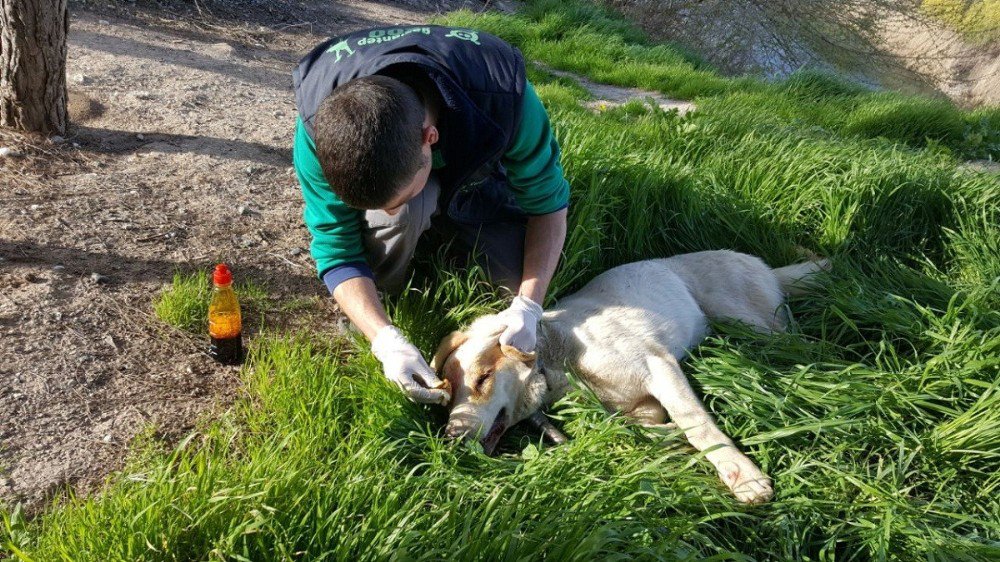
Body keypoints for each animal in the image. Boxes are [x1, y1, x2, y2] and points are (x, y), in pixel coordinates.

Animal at [430, 249, 828, 504]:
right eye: (449, 395)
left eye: (483, 379)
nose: (450, 440)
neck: (555, 361)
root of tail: (761, 264)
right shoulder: (642, 406)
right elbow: (638, 429)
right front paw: (672, 439)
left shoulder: (659, 366)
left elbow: (697, 426)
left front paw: (742, 475)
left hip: (750, 324)